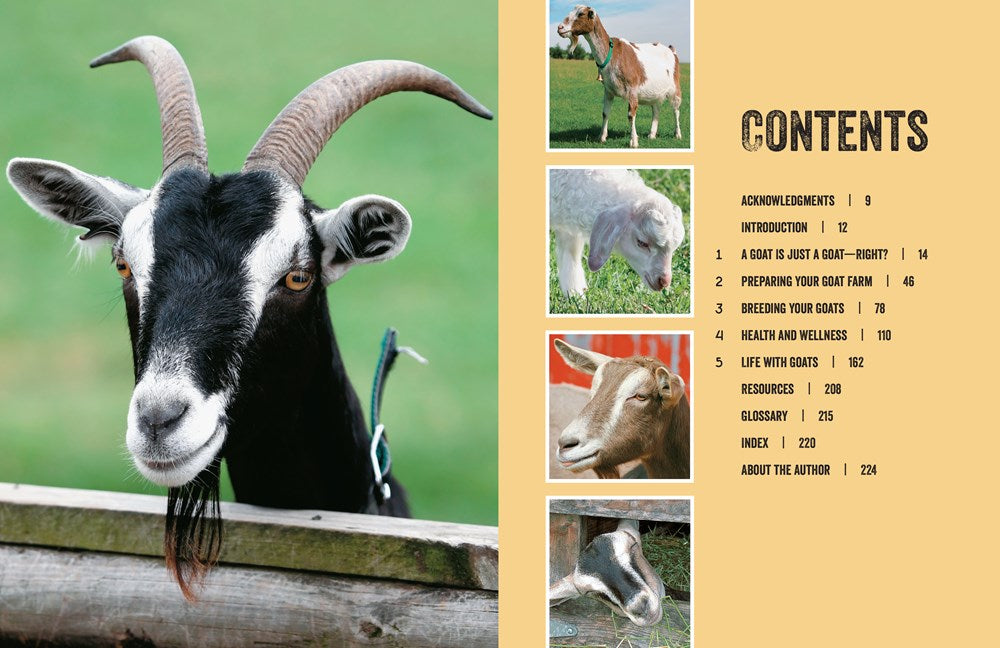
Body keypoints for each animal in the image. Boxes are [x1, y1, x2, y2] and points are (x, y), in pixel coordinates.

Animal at [557, 5, 683, 148]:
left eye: (581, 14)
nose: (560, 27)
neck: (612, 54)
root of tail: (671, 50)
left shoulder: (633, 89)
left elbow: (631, 115)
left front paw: (633, 141)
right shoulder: (608, 89)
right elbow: (605, 113)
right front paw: (602, 137)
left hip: (675, 87)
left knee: (676, 110)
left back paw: (677, 134)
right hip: (655, 91)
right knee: (656, 110)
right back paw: (652, 135)